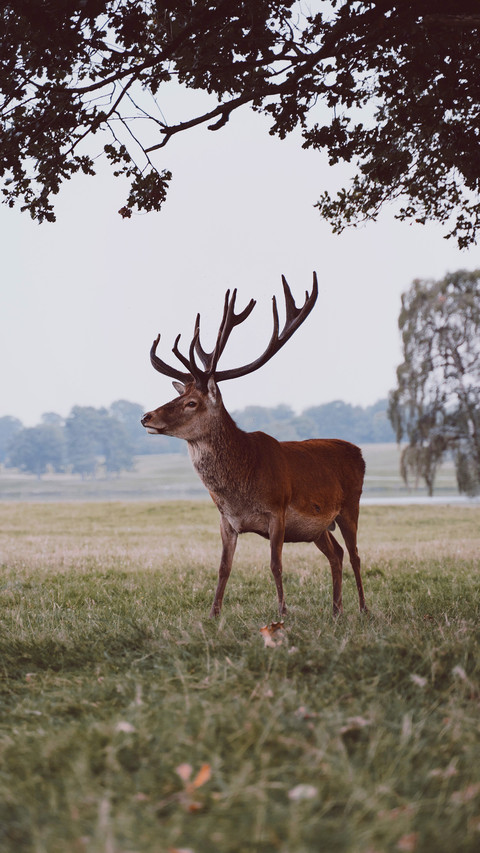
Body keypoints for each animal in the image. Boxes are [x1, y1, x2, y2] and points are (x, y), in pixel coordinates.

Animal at [141, 273, 367, 619]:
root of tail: (358, 452)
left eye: (191, 402)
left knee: (355, 554)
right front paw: (213, 614)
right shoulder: (226, 521)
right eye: (178, 395)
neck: (239, 488)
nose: (146, 416)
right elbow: (223, 567)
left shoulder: (278, 511)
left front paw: (283, 613)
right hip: (318, 528)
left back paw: (364, 609)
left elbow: (275, 565)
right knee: (337, 554)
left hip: (350, 505)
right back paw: (336, 610)